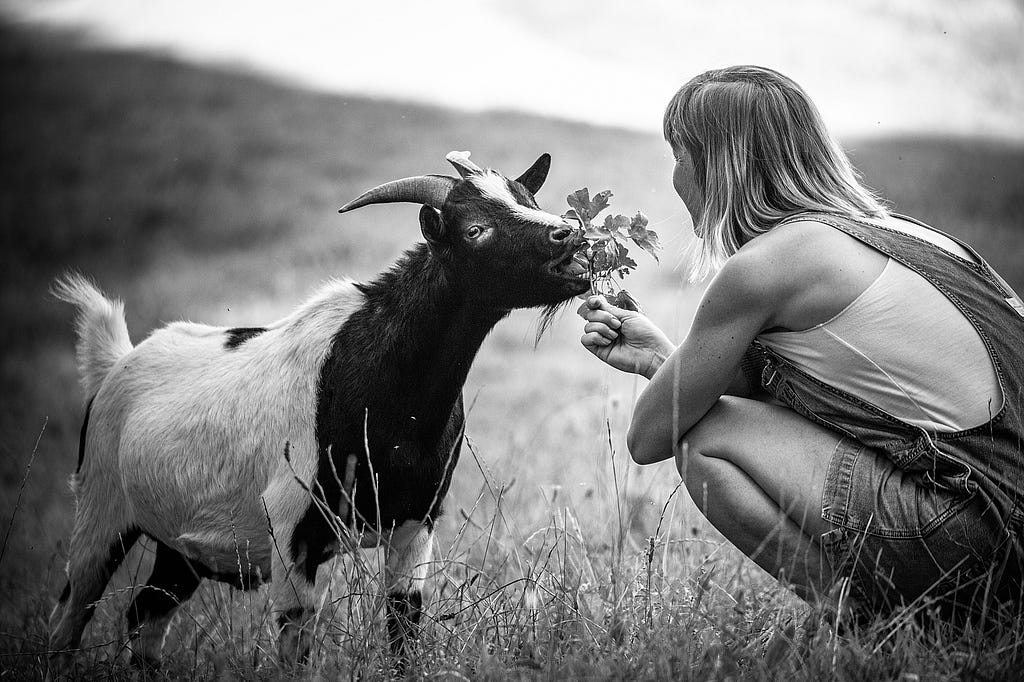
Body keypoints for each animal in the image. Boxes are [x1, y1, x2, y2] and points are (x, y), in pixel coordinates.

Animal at [49, 151, 593, 667]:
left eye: (530, 200)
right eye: (475, 229)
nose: (570, 233)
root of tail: (115, 363)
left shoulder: (417, 524)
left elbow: (403, 626)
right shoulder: (293, 531)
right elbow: (296, 637)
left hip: (179, 547)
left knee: (146, 613)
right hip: (100, 504)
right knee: (73, 610)